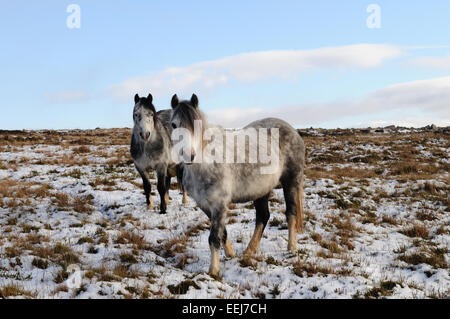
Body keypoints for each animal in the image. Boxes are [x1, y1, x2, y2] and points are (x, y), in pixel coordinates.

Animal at [169, 94, 306, 276]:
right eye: (174, 124)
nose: (188, 155)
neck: (205, 164)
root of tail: (292, 131)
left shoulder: (219, 204)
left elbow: (214, 238)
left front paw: (213, 270)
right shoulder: (206, 205)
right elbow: (222, 233)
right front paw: (231, 254)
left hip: (290, 181)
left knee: (291, 213)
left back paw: (291, 247)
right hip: (261, 190)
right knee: (263, 217)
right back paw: (249, 250)